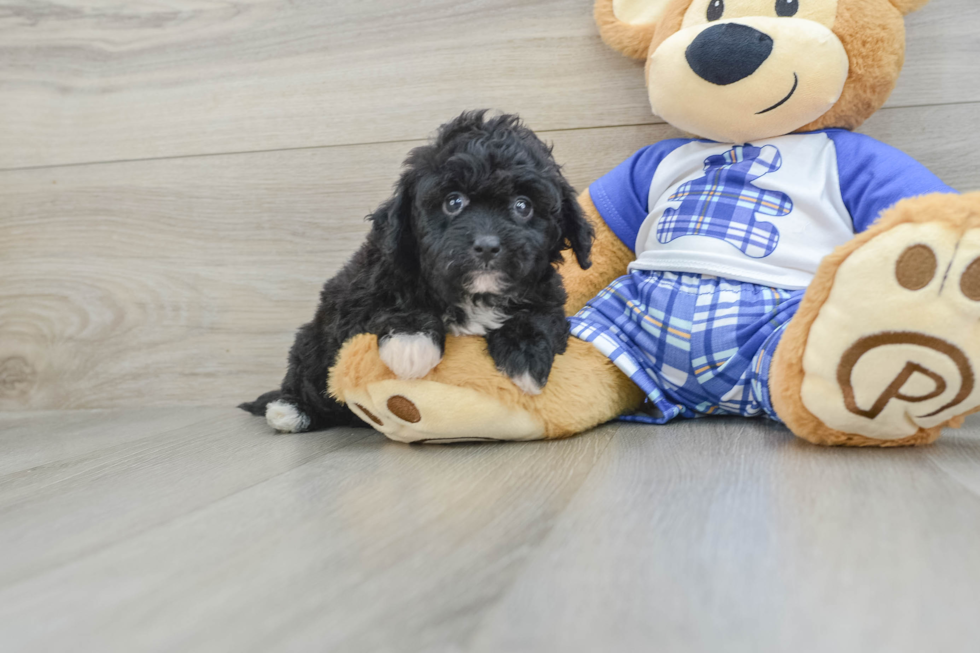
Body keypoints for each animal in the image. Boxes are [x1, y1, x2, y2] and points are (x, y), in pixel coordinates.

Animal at [241, 112, 592, 432]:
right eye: (453, 202)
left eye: (523, 206)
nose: (487, 246)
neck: (474, 296)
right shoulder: (356, 299)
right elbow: (392, 306)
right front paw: (411, 341)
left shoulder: (548, 295)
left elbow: (539, 316)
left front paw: (526, 356)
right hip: (313, 344)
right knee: (307, 382)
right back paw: (289, 410)